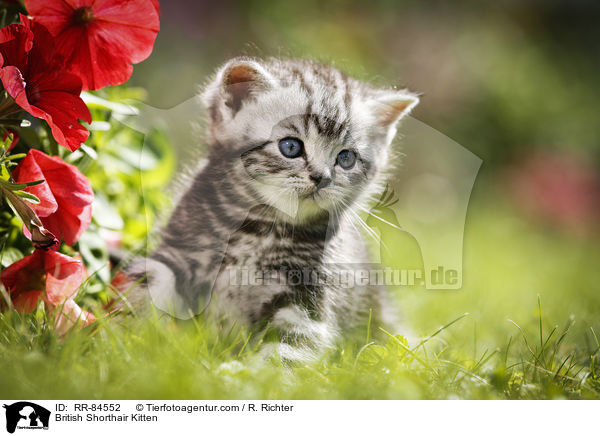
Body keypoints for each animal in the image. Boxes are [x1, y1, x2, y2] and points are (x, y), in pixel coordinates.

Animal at [119, 56, 420, 362]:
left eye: (346, 158)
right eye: (291, 147)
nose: (322, 178)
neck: (259, 227)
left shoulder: (306, 302)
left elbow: (286, 351)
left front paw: (242, 372)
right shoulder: (179, 248)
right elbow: (146, 281)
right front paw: (125, 341)